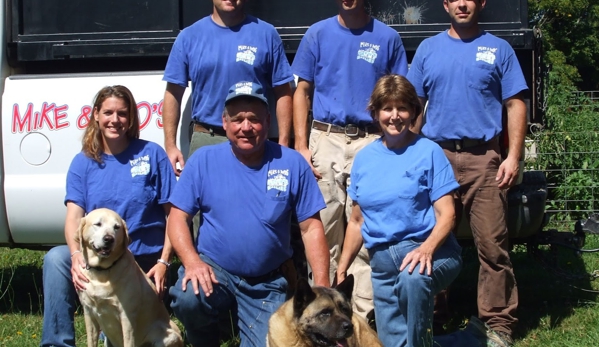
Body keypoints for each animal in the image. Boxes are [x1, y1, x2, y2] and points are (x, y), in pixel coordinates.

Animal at [75, 208, 183, 346]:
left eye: (116, 227)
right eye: (98, 224)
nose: (109, 239)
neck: (102, 271)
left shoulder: (127, 316)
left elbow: (128, 341)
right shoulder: (89, 312)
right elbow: (91, 341)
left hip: (167, 334)